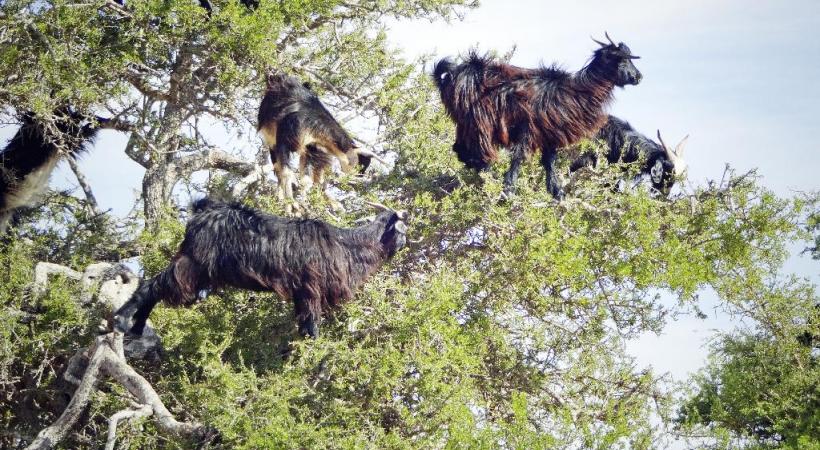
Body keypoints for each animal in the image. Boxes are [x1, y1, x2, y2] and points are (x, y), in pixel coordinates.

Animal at [113, 198, 408, 338]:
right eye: (401, 228)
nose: (406, 244)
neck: (345, 245)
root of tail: (202, 212)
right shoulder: (311, 286)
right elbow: (311, 323)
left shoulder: (300, 292)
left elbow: (302, 322)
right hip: (193, 263)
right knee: (153, 285)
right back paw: (122, 321)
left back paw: (137, 328)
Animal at [256, 73, 384, 214]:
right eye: (361, 163)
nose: (360, 177)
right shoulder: (283, 141)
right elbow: (286, 173)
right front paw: (291, 206)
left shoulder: (311, 150)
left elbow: (307, 180)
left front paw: (303, 204)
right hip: (271, 140)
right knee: (278, 169)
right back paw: (281, 200)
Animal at [432, 32, 644, 200]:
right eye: (623, 59)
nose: (638, 77)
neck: (577, 90)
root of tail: (450, 75)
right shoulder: (530, 128)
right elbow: (519, 157)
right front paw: (508, 190)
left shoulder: (548, 134)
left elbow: (549, 162)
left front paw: (557, 193)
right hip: (478, 122)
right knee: (476, 153)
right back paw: (490, 177)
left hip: (465, 123)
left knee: (462, 150)